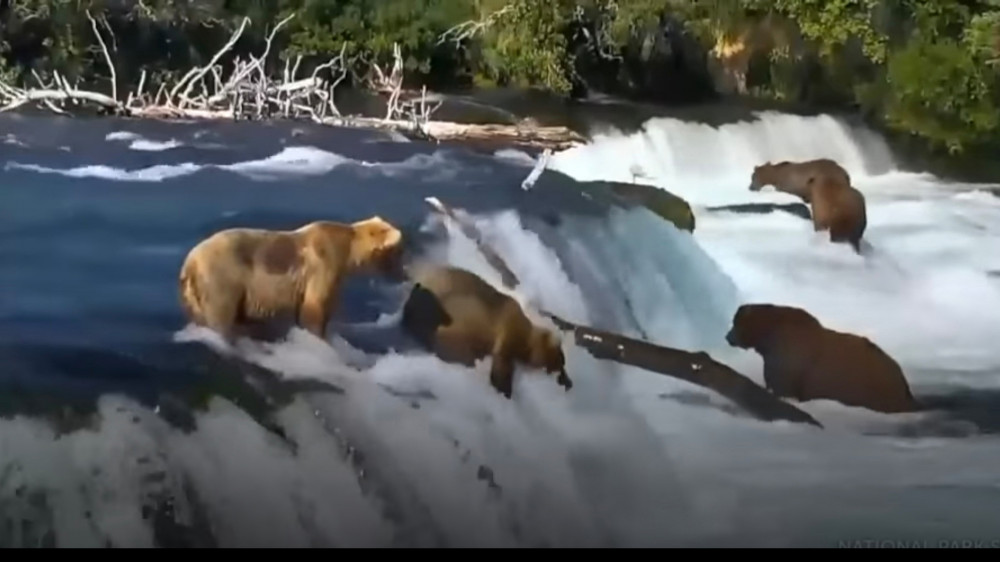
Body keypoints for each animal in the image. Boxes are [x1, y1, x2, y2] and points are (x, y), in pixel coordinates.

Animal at [178, 215, 404, 342]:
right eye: (398, 249)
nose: (402, 271)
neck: (347, 251)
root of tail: (190, 263)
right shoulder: (322, 264)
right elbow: (314, 307)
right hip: (222, 277)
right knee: (220, 315)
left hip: (195, 292)